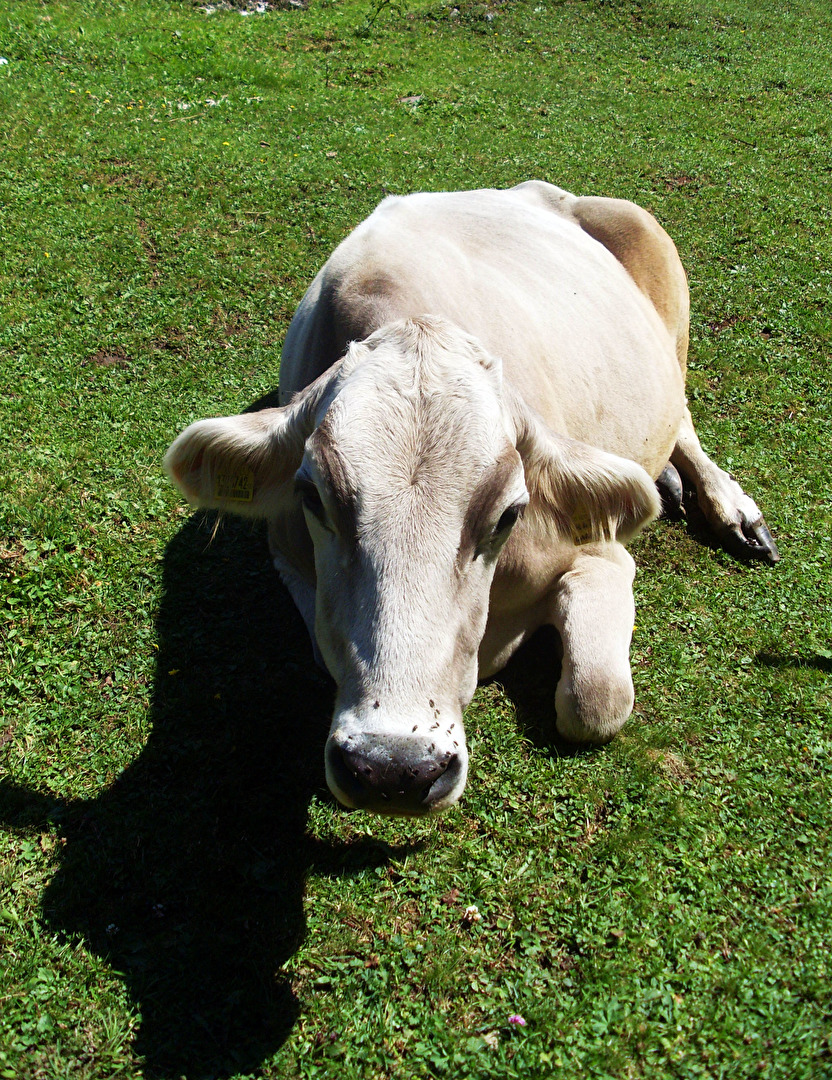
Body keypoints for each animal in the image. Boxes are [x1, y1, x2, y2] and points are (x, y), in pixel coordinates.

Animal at [164, 179, 777, 816]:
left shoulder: (602, 555)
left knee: (681, 412)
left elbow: (595, 701)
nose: (394, 768)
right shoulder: (288, 558)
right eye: (312, 496)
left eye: (511, 512)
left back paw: (727, 505)